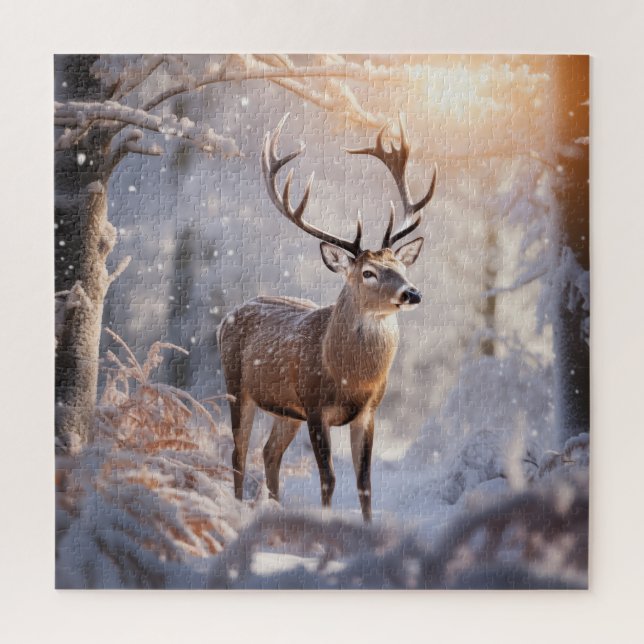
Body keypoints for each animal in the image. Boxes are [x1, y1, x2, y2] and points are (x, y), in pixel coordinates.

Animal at [218, 113, 436, 521]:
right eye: (368, 272)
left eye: (400, 265)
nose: (411, 293)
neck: (349, 377)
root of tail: (228, 316)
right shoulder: (316, 406)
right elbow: (329, 480)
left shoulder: (368, 411)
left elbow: (365, 483)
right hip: (237, 384)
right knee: (239, 453)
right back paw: (238, 510)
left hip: (286, 410)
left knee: (269, 452)